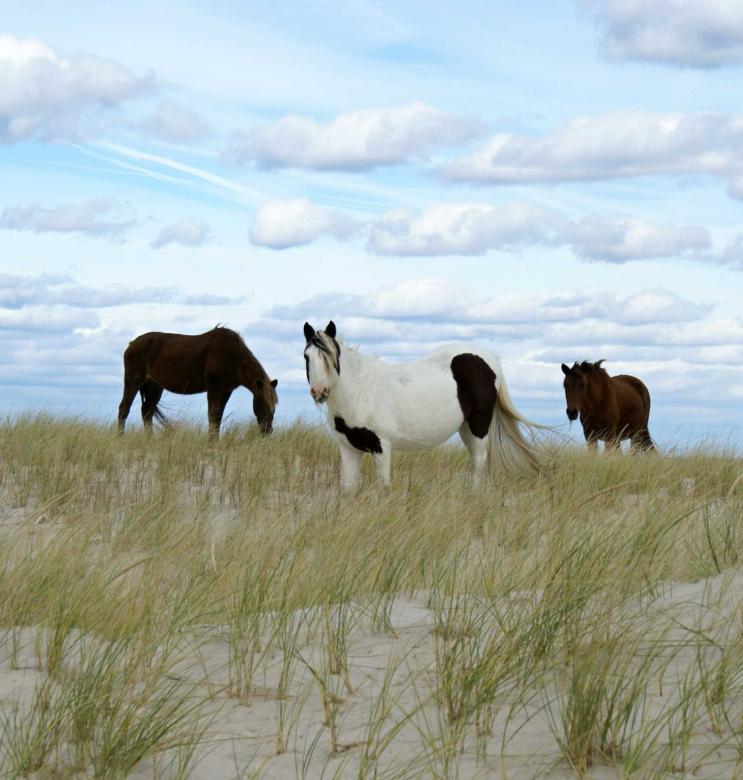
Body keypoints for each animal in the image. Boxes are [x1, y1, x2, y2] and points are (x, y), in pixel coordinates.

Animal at [118, 326, 278, 437]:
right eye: (262, 402)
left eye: (274, 405)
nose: (267, 431)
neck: (233, 356)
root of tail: (131, 344)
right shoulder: (214, 387)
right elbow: (212, 416)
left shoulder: (226, 391)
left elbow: (218, 417)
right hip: (134, 380)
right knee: (124, 408)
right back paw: (120, 437)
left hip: (155, 387)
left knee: (147, 411)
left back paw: (150, 439)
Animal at [303, 320, 541, 489]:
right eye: (307, 357)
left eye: (331, 357)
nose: (319, 392)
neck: (359, 389)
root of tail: (490, 358)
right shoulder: (348, 447)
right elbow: (349, 488)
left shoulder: (381, 446)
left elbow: (383, 488)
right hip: (464, 427)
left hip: (478, 426)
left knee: (478, 464)